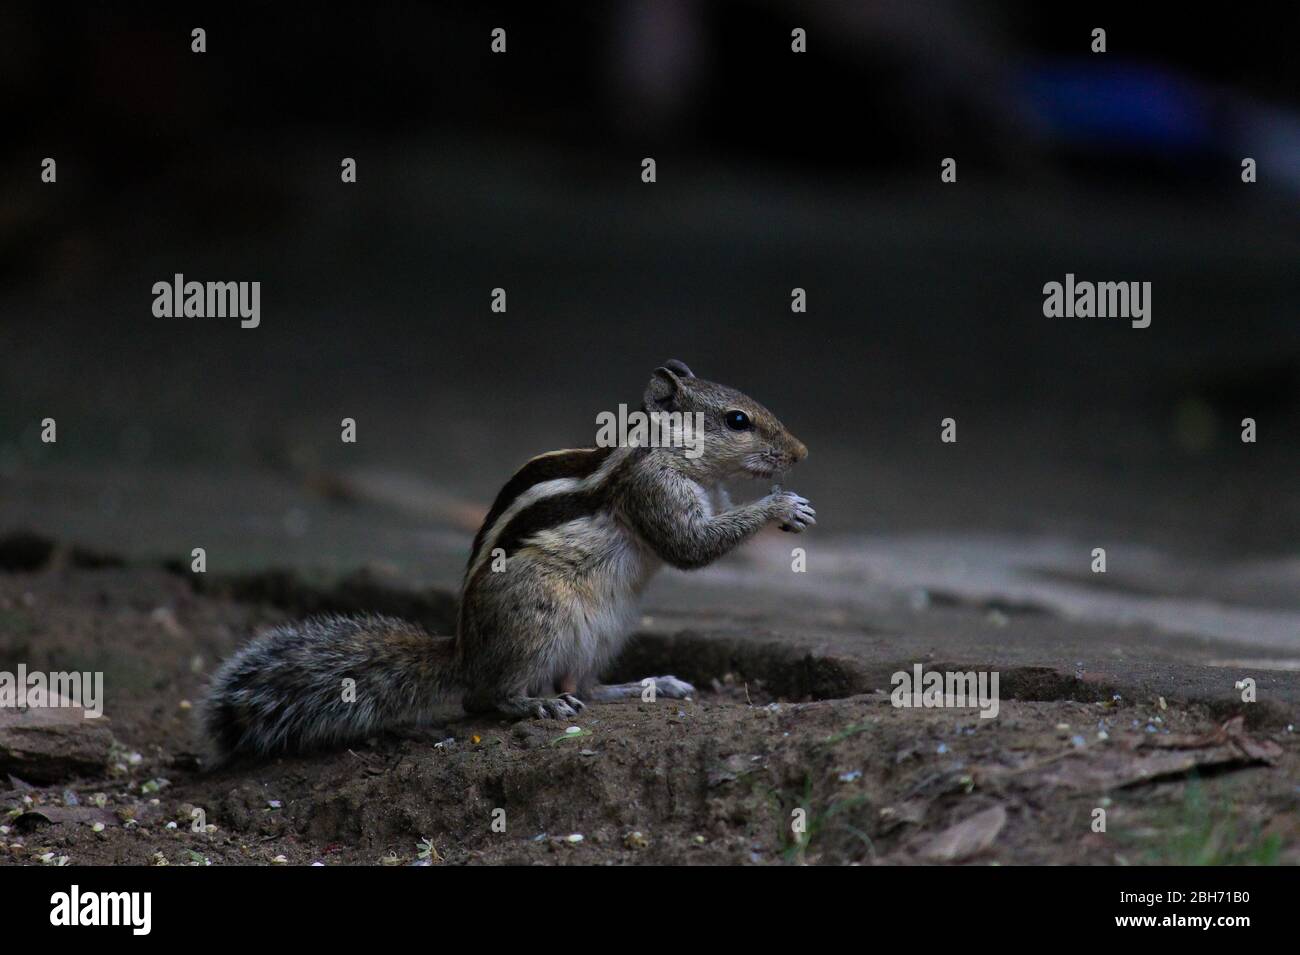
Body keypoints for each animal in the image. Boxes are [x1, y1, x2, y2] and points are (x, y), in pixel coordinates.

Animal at [201, 361, 811, 764]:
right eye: (737, 420)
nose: (801, 454)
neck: (658, 452)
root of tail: (465, 651)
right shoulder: (651, 490)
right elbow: (690, 547)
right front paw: (781, 506)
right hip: (537, 619)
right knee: (485, 697)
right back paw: (534, 706)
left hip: (607, 629)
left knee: (585, 686)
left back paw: (646, 685)